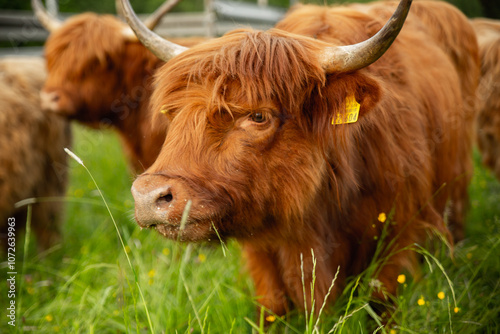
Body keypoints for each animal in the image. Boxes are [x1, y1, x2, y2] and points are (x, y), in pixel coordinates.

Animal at [122, 0, 480, 318]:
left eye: (258, 116)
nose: (148, 196)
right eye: (173, 112)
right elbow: (273, 307)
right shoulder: (263, 255)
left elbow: (381, 306)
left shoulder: (398, 238)